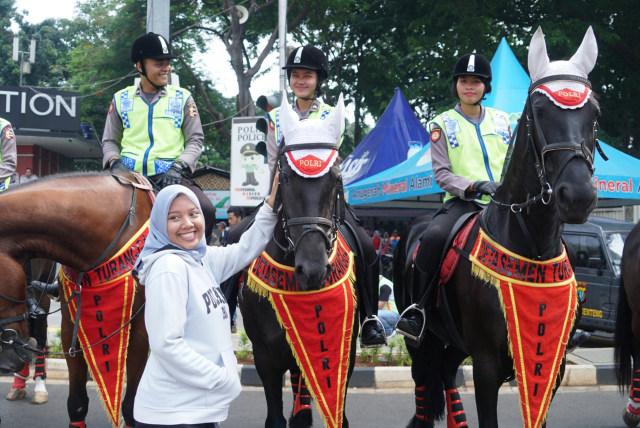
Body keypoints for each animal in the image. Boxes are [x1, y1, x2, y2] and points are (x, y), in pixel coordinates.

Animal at [396, 27, 600, 428]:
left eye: (595, 112)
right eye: (538, 111)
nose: (578, 196)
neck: (533, 249)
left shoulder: (552, 364)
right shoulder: (487, 364)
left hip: (455, 341)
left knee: (445, 371)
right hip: (420, 339)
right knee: (423, 382)